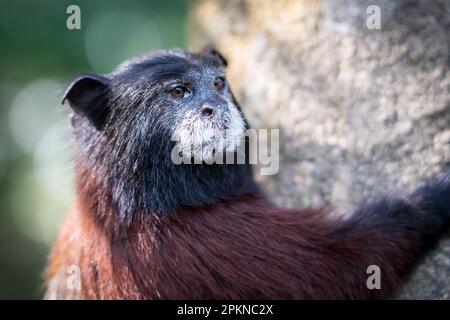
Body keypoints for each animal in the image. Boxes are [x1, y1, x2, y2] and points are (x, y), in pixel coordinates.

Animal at [44, 47, 450, 300]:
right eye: (178, 92)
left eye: (218, 83)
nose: (215, 106)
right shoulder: (212, 242)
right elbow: (340, 268)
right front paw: (433, 199)